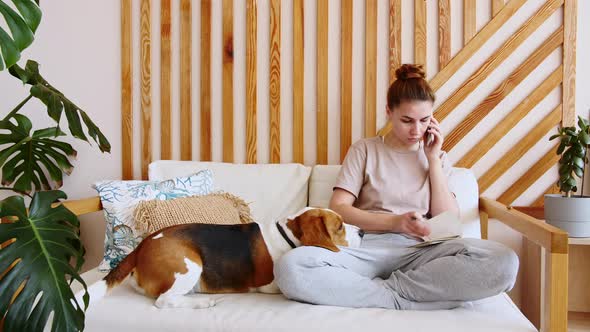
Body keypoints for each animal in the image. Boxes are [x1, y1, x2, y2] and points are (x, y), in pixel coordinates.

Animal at [82, 208, 360, 308]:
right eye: (339, 226)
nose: (362, 232)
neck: (286, 234)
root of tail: (142, 246)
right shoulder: (268, 285)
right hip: (190, 265)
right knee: (164, 301)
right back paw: (204, 303)